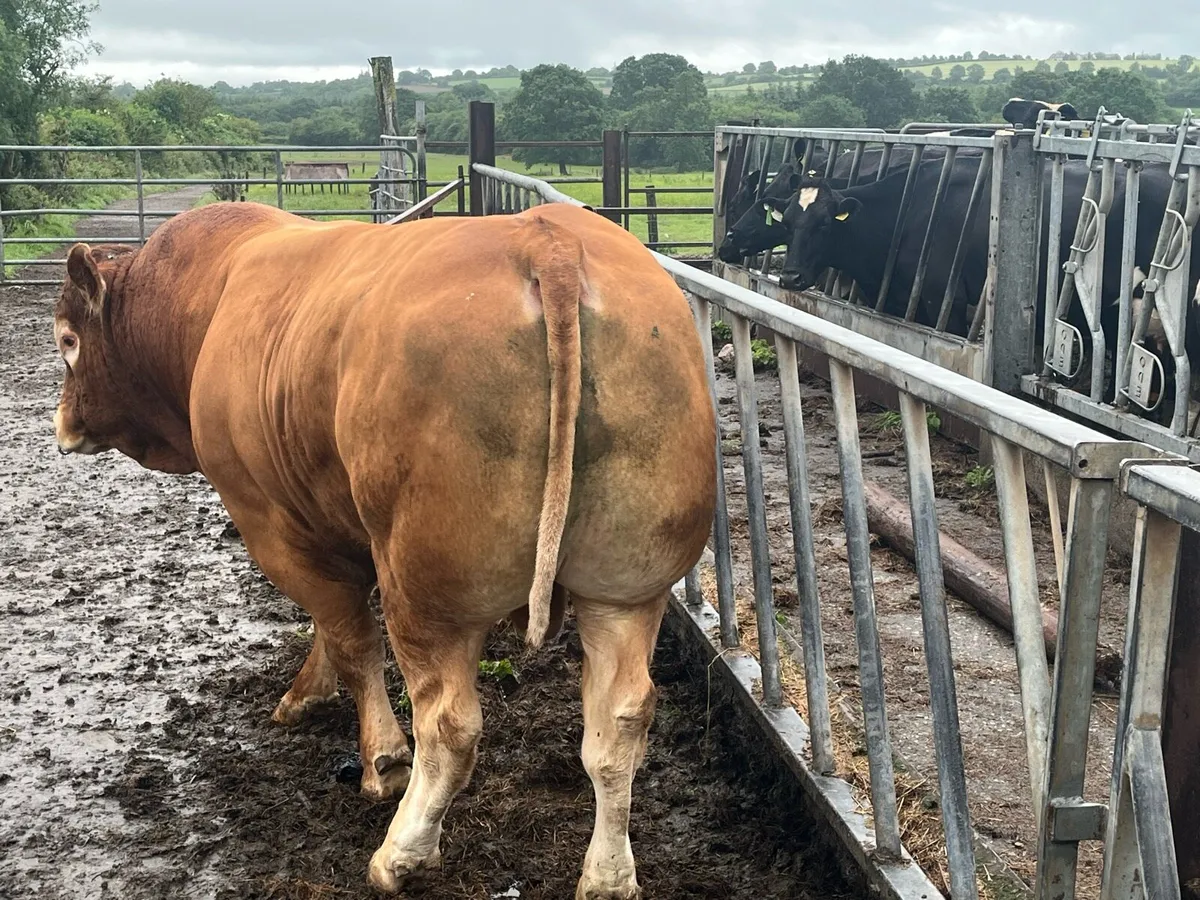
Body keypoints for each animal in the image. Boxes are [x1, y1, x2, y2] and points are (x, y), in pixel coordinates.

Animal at [51, 200, 717, 898]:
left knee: (450, 725)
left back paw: (401, 852)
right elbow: (330, 626)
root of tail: (549, 240)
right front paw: (306, 692)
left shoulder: (268, 520)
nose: (63, 424)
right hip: (629, 585)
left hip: (429, 590)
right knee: (619, 724)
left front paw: (378, 757)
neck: (205, 301)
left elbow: (348, 635)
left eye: (68, 339)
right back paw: (608, 875)